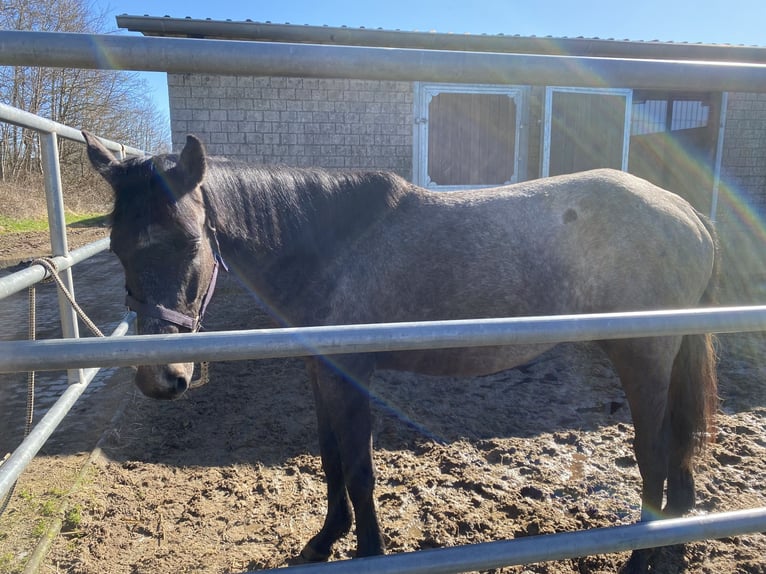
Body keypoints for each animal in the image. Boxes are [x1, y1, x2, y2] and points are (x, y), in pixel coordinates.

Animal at [84, 130, 720, 574]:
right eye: (117, 247)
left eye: (190, 241)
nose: (160, 378)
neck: (329, 246)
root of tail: (687, 211)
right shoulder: (322, 370)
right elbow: (330, 458)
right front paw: (324, 538)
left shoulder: (353, 373)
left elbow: (360, 468)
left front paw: (369, 550)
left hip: (643, 358)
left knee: (653, 453)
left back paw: (639, 555)